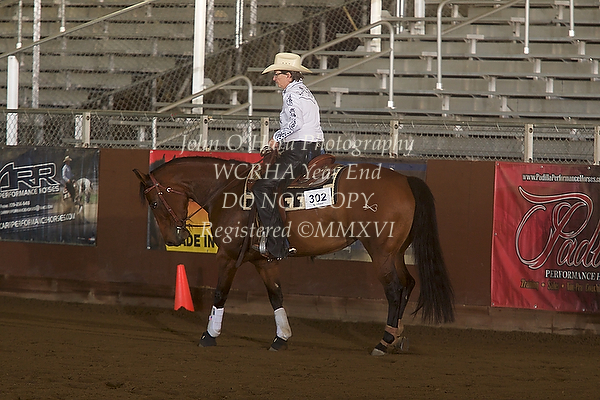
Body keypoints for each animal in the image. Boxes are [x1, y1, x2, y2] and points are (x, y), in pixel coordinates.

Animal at [133, 154, 454, 356]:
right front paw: (281, 338)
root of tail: (405, 180)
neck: (227, 190)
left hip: (381, 252)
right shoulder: (263, 261)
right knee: (408, 284)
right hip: (396, 251)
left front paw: (209, 336)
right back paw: (398, 338)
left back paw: (384, 341)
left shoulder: (228, 256)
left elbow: (220, 294)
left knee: (394, 290)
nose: (174, 238)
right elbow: (276, 295)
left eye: (154, 202)